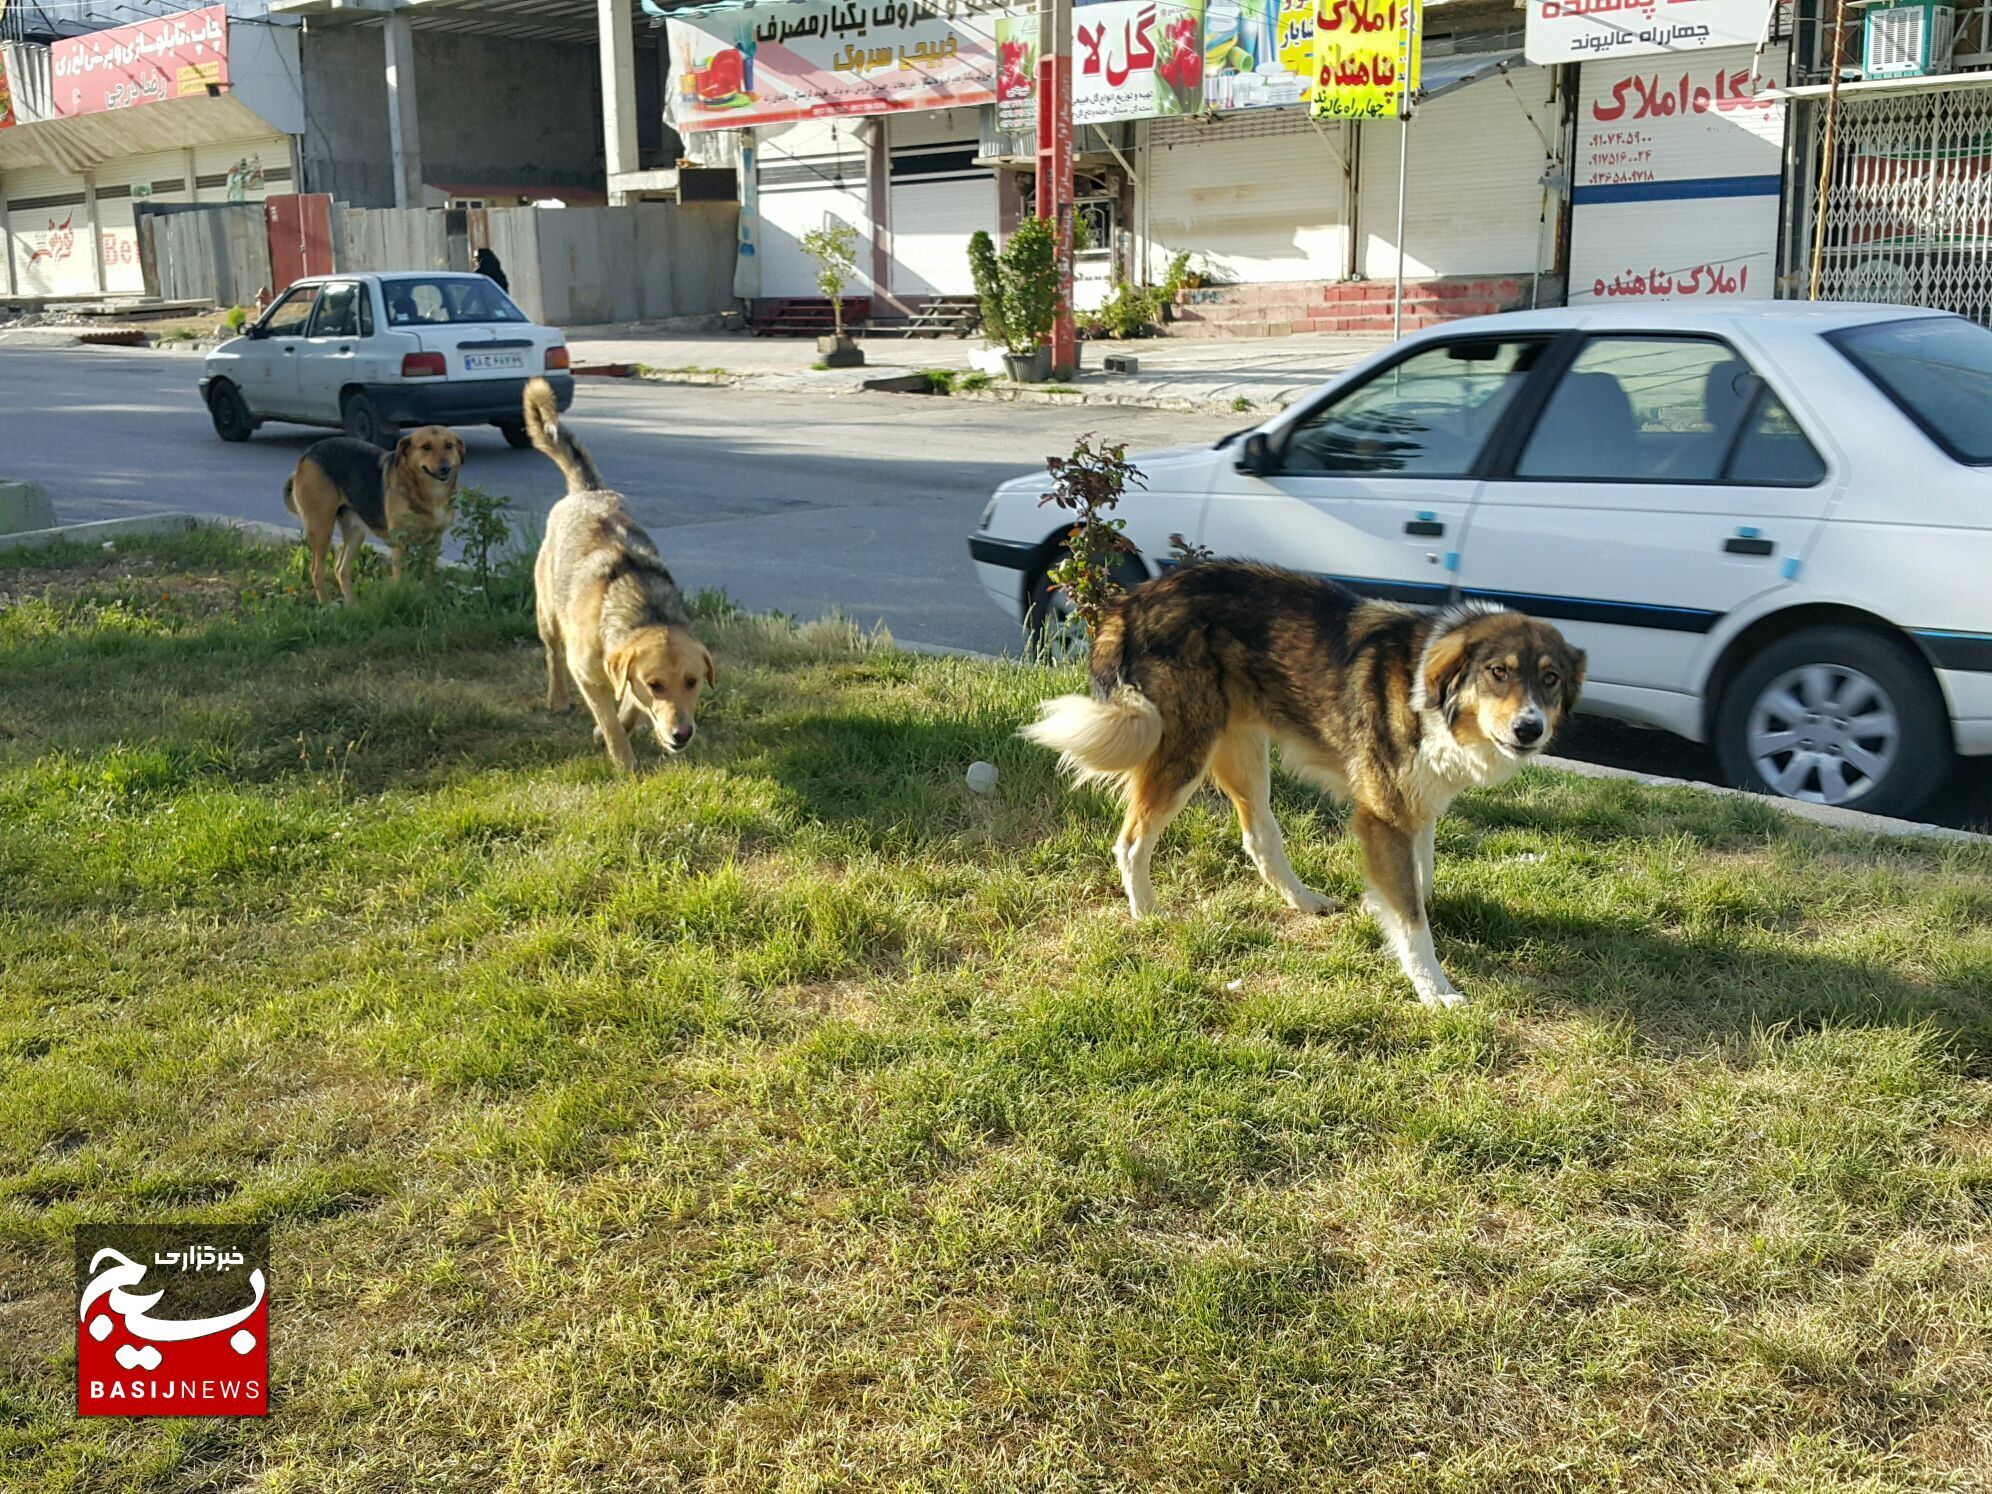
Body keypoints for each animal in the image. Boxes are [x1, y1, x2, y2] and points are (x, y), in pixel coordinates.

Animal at [282, 426, 464, 601]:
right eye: (426, 447)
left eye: (449, 446)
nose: (445, 468)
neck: (429, 494)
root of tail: (307, 453)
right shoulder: (400, 543)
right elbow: (400, 579)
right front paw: (401, 599)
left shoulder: (434, 542)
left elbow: (429, 577)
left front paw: (428, 596)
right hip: (322, 528)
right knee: (316, 571)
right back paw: (327, 605)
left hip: (355, 532)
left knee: (341, 569)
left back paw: (352, 606)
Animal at [521, 376, 717, 772]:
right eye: (656, 684)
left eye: (692, 681)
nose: (682, 734)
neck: (643, 608)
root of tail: (588, 491)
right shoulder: (587, 675)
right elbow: (611, 720)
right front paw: (623, 760)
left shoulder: (625, 676)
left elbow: (629, 707)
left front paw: (626, 724)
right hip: (547, 615)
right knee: (552, 654)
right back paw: (558, 697)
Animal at [1027, 565, 1585, 1011]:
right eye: (1498, 672)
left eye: (1550, 678)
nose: (1530, 730)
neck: (1427, 694)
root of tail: (1132, 600)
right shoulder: (1384, 815)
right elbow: (1412, 917)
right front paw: (1434, 989)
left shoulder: (1417, 807)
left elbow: (1419, 884)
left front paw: (1376, 909)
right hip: (1184, 748)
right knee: (1131, 841)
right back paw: (1147, 914)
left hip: (1245, 753)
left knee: (1259, 836)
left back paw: (1304, 901)